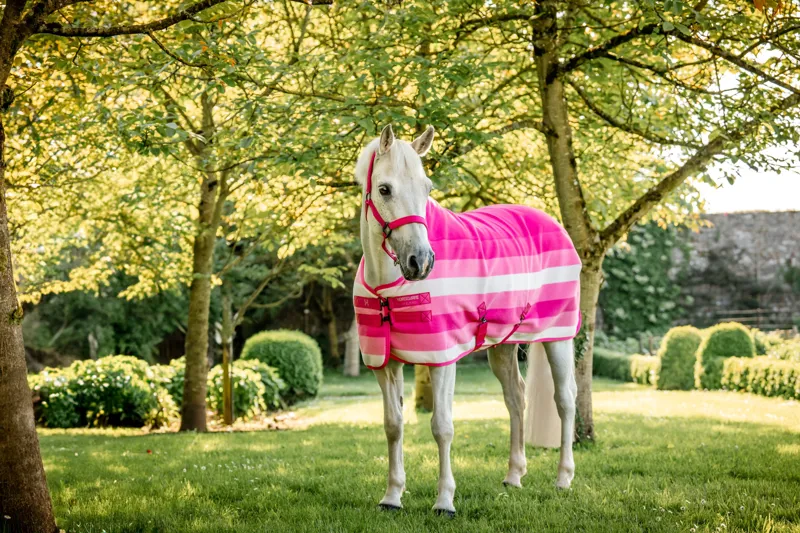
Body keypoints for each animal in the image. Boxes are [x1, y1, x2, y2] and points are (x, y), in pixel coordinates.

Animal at [352, 124, 580, 516]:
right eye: (384, 189)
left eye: (427, 188)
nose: (421, 261)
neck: (388, 287)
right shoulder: (385, 363)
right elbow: (393, 426)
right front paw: (392, 496)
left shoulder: (442, 358)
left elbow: (442, 427)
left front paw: (444, 501)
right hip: (502, 345)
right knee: (516, 398)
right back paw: (513, 476)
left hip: (558, 337)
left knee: (565, 399)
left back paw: (564, 478)